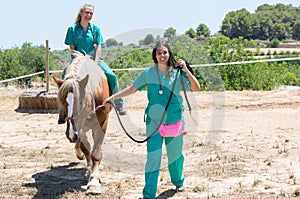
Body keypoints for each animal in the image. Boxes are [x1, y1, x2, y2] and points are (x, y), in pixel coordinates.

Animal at [52, 53, 110, 194]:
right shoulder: (80, 129)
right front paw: (89, 170)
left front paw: (94, 181)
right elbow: (85, 148)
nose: (71, 135)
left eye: (81, 102)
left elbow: (96, 151)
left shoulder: (102, 123)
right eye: (62, 102)